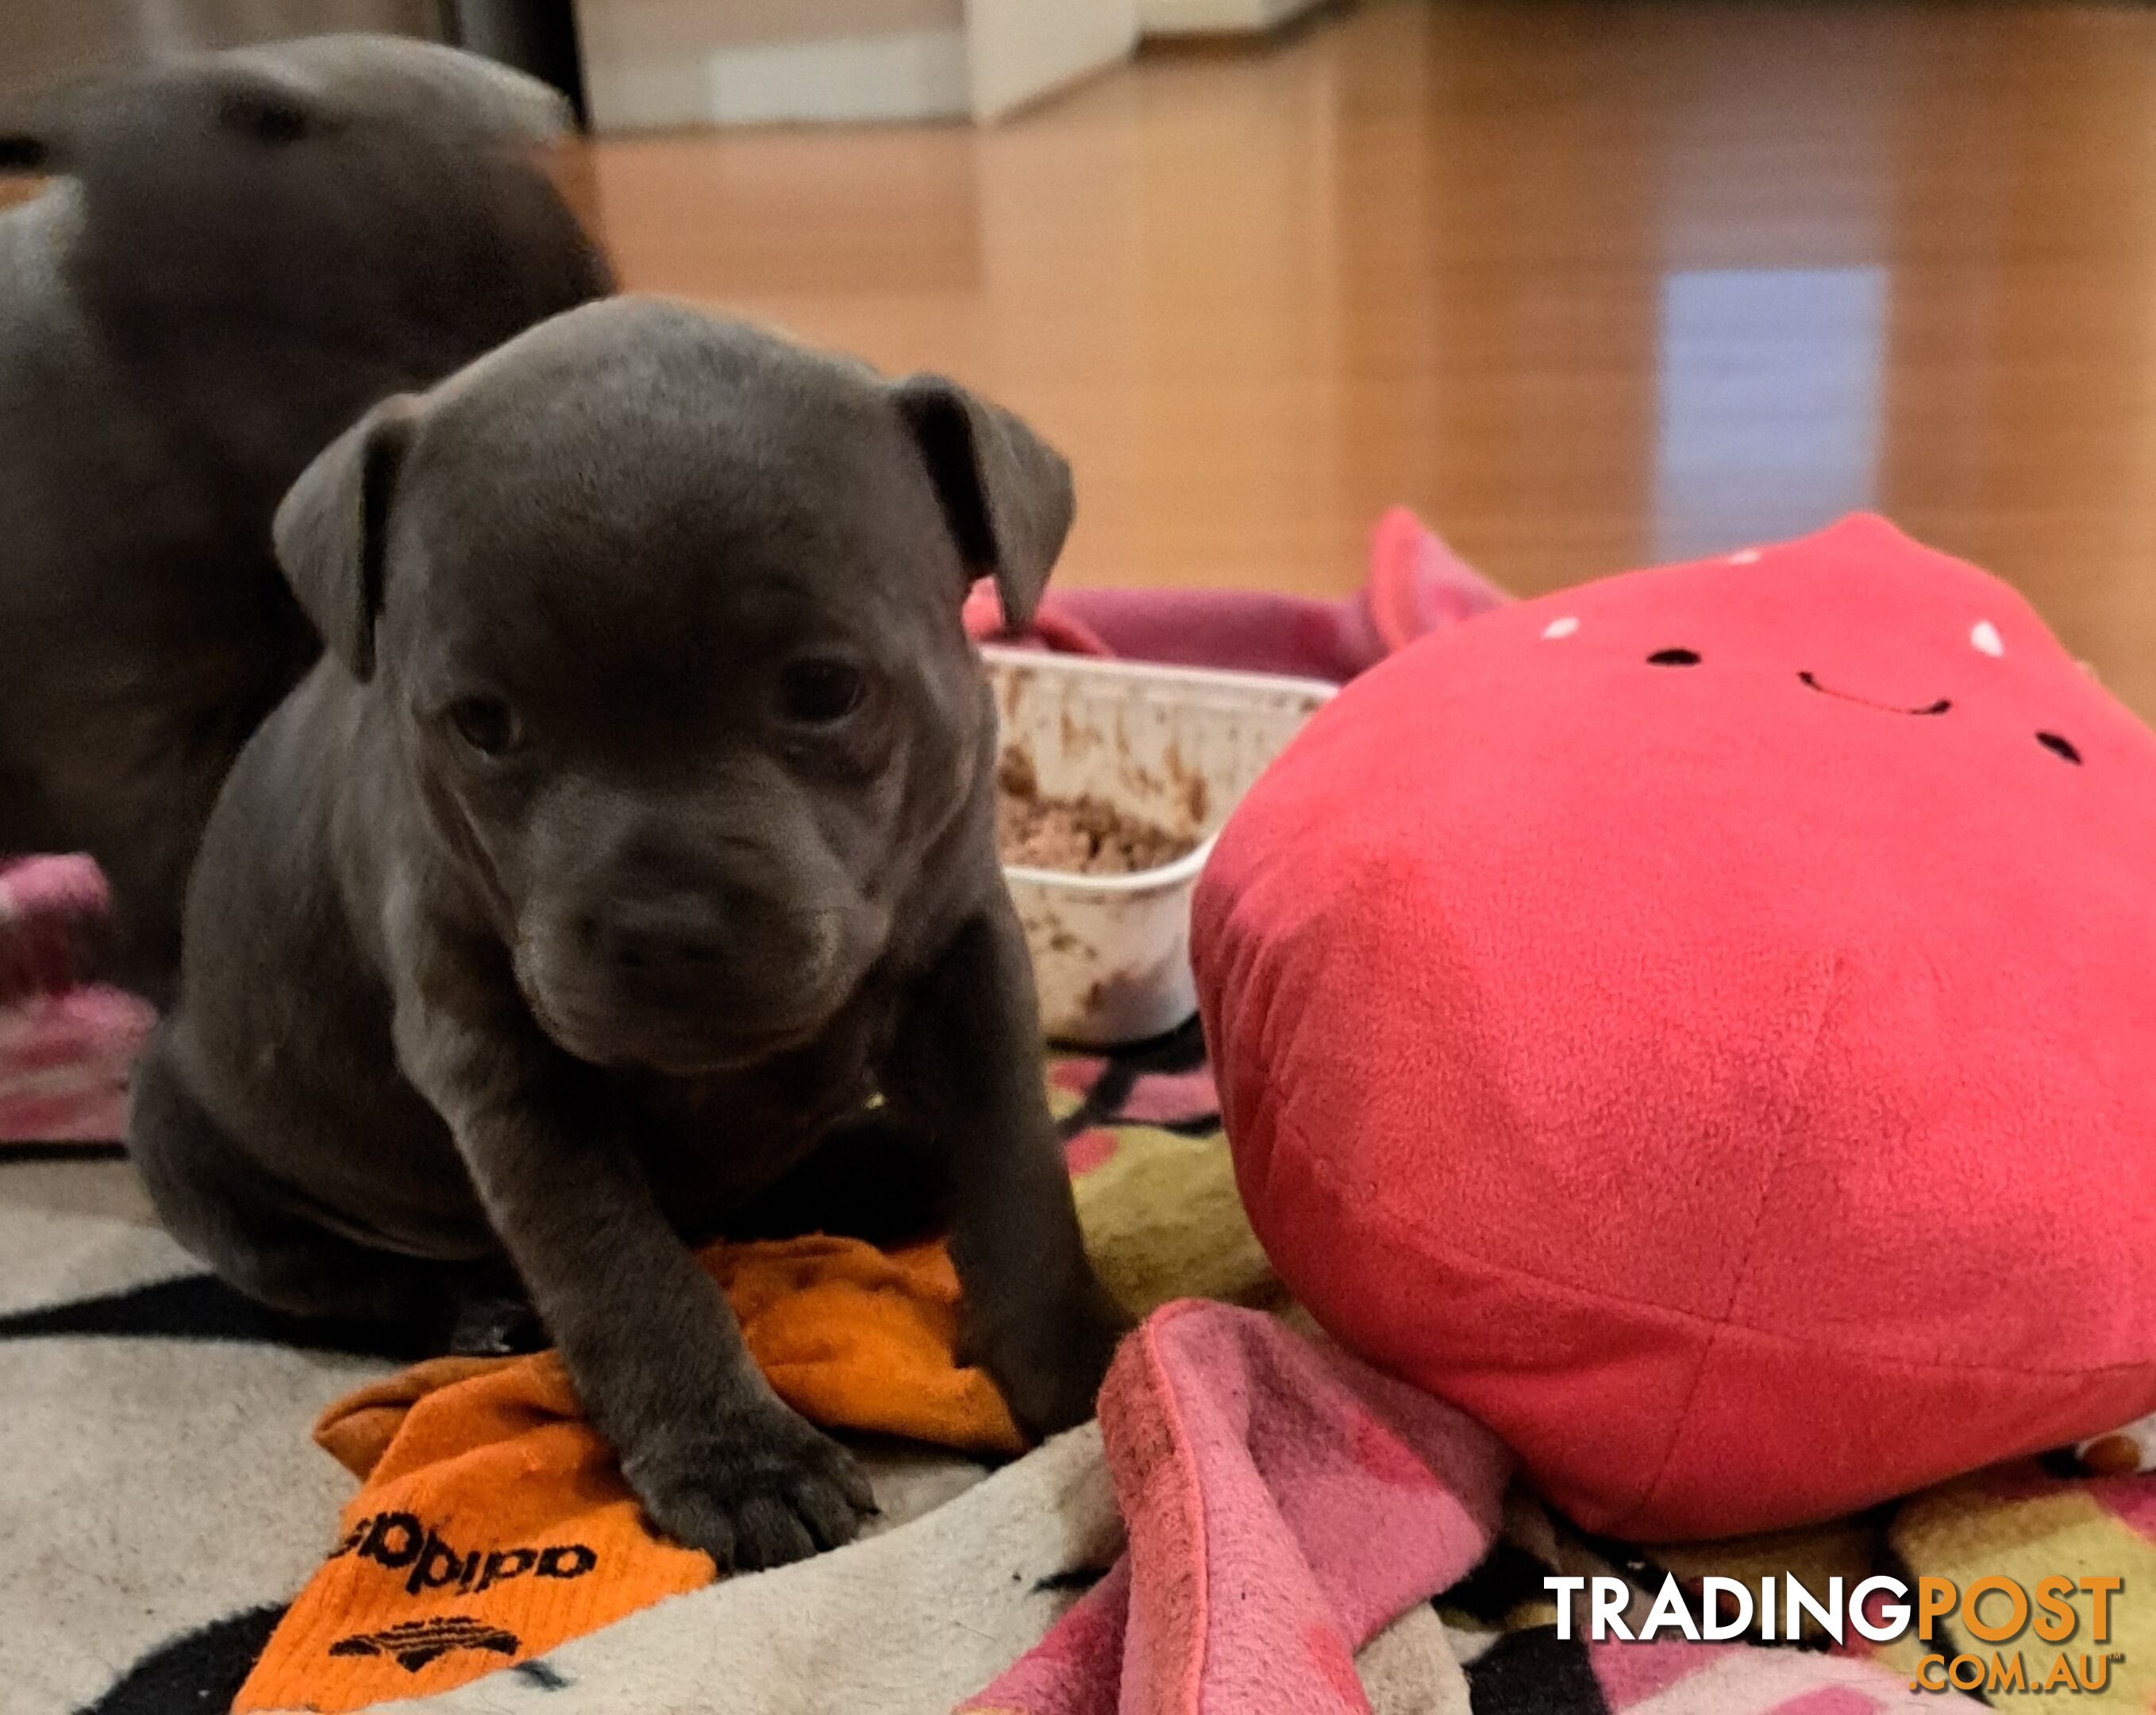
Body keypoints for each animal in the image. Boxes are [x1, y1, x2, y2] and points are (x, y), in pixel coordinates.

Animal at [139, 295, 1130, 1570]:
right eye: (483, 724)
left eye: (824, 690)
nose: (662, 928)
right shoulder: (503, 1069)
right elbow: (622, 1267)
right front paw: (734, 1459)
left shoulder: (968, 958)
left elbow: (1016, 1166)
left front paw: (1083, 1367)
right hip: (189, 1147)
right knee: (344, 1273)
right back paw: (478, 1311)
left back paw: (874, 1164)